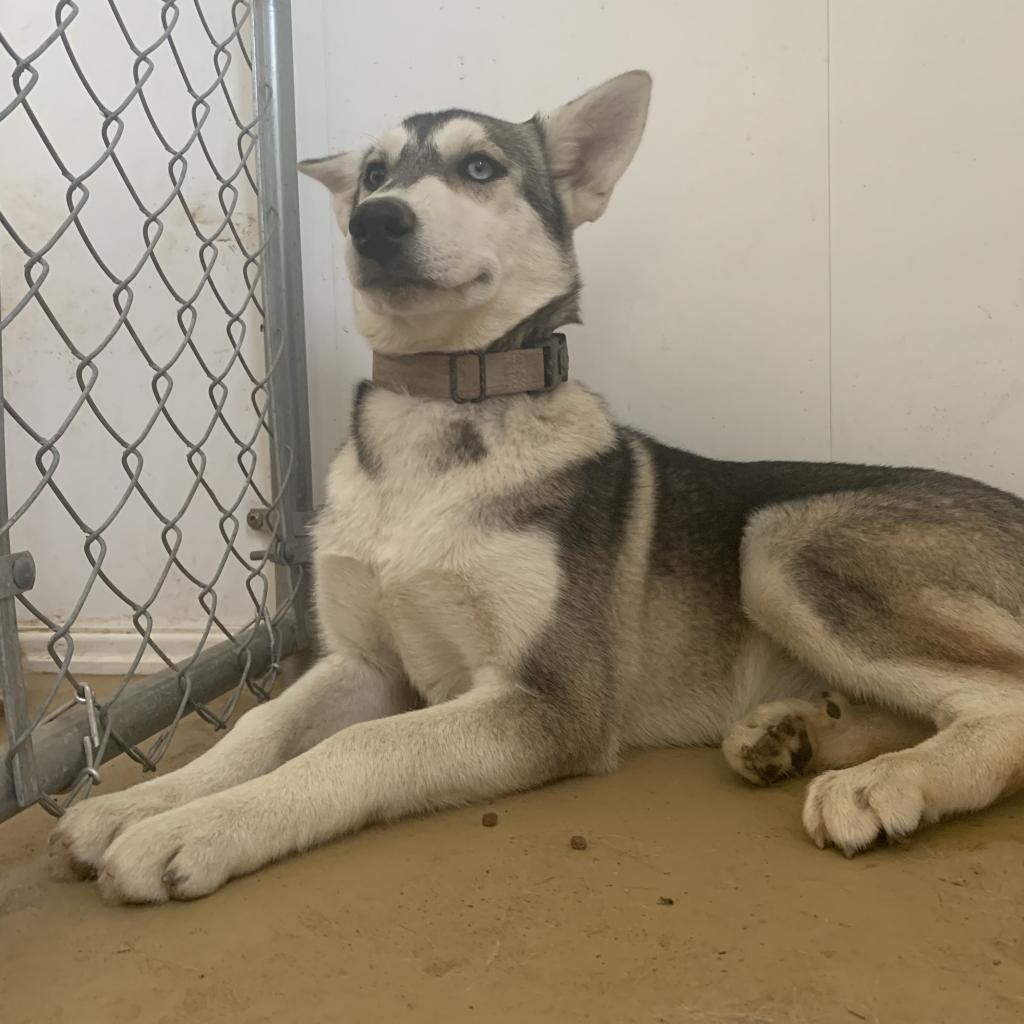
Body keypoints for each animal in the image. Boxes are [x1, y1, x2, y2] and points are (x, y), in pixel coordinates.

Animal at [51, 74, 1024, 905]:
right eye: (373, 174)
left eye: (481, 167)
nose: (375, 221)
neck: (437, 422)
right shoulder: (363, 662)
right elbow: (260, 729)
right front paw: (139, 803)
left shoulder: (549, 700)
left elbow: (361, 746)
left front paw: (196, 828)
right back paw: (789, 734)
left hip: (779, 542)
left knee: (997, 699)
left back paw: (885, 780)